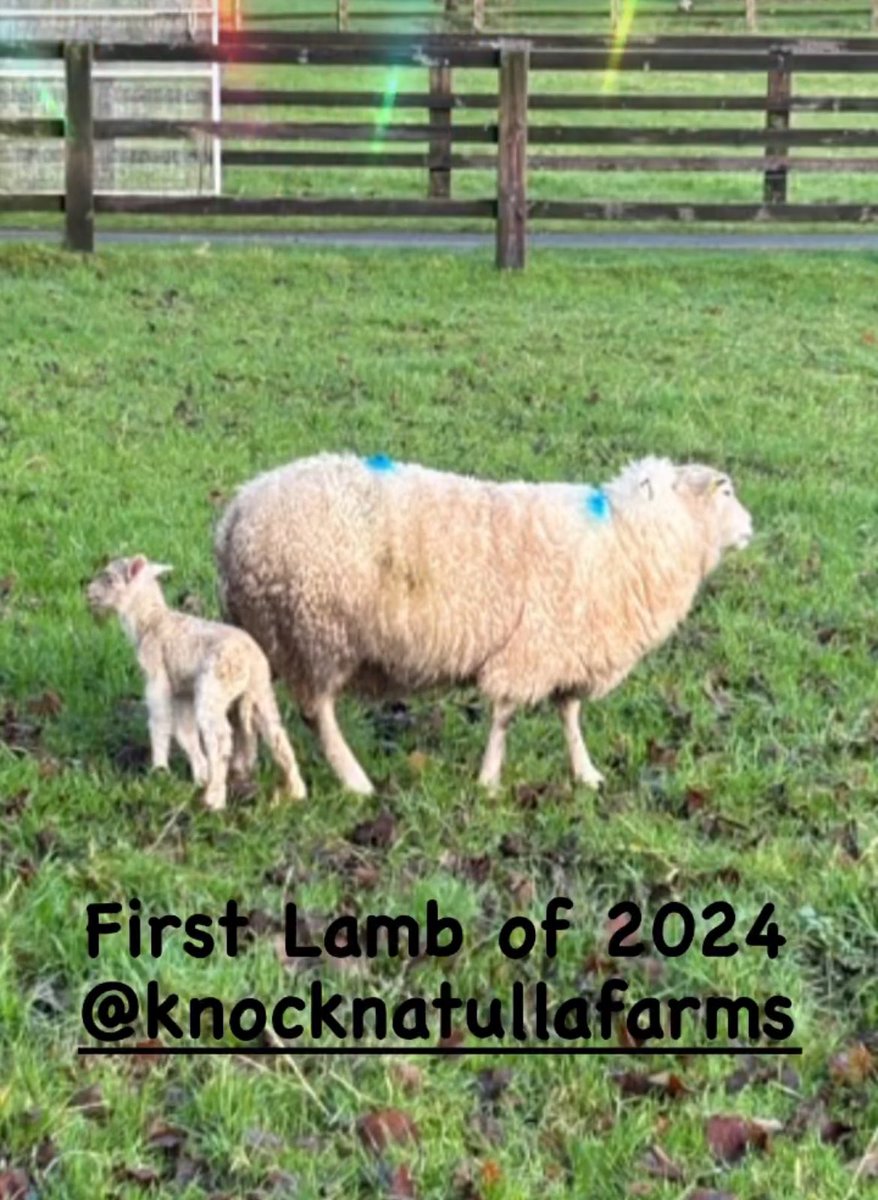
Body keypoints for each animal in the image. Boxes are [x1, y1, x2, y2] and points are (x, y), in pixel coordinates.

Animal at [86, 554, 307, 810]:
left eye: (109, 578)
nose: (88, 593)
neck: (151, 621)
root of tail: (251, 659)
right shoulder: (182, 690)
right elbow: (185, 731)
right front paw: (200, 773)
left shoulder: (157, 679)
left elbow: (160, 722)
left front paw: (159, 770)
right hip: (260, 690)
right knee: (276, 733)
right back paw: (295, 791)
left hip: (214, 687)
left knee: (220, 739)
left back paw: (214, 799)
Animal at [214, 454, 753, 796]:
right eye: (725, 490)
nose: (751, 527)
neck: (626, 539)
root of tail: (235, 510)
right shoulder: (532, 648)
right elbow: (506, 715)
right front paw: (490, 782)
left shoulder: (568, 649)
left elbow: (570, 715)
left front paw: (586, 774)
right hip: (314, 631)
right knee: (317, 713)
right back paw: (355, 782)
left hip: (271, 629)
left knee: (245, 699)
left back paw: (240, 765)